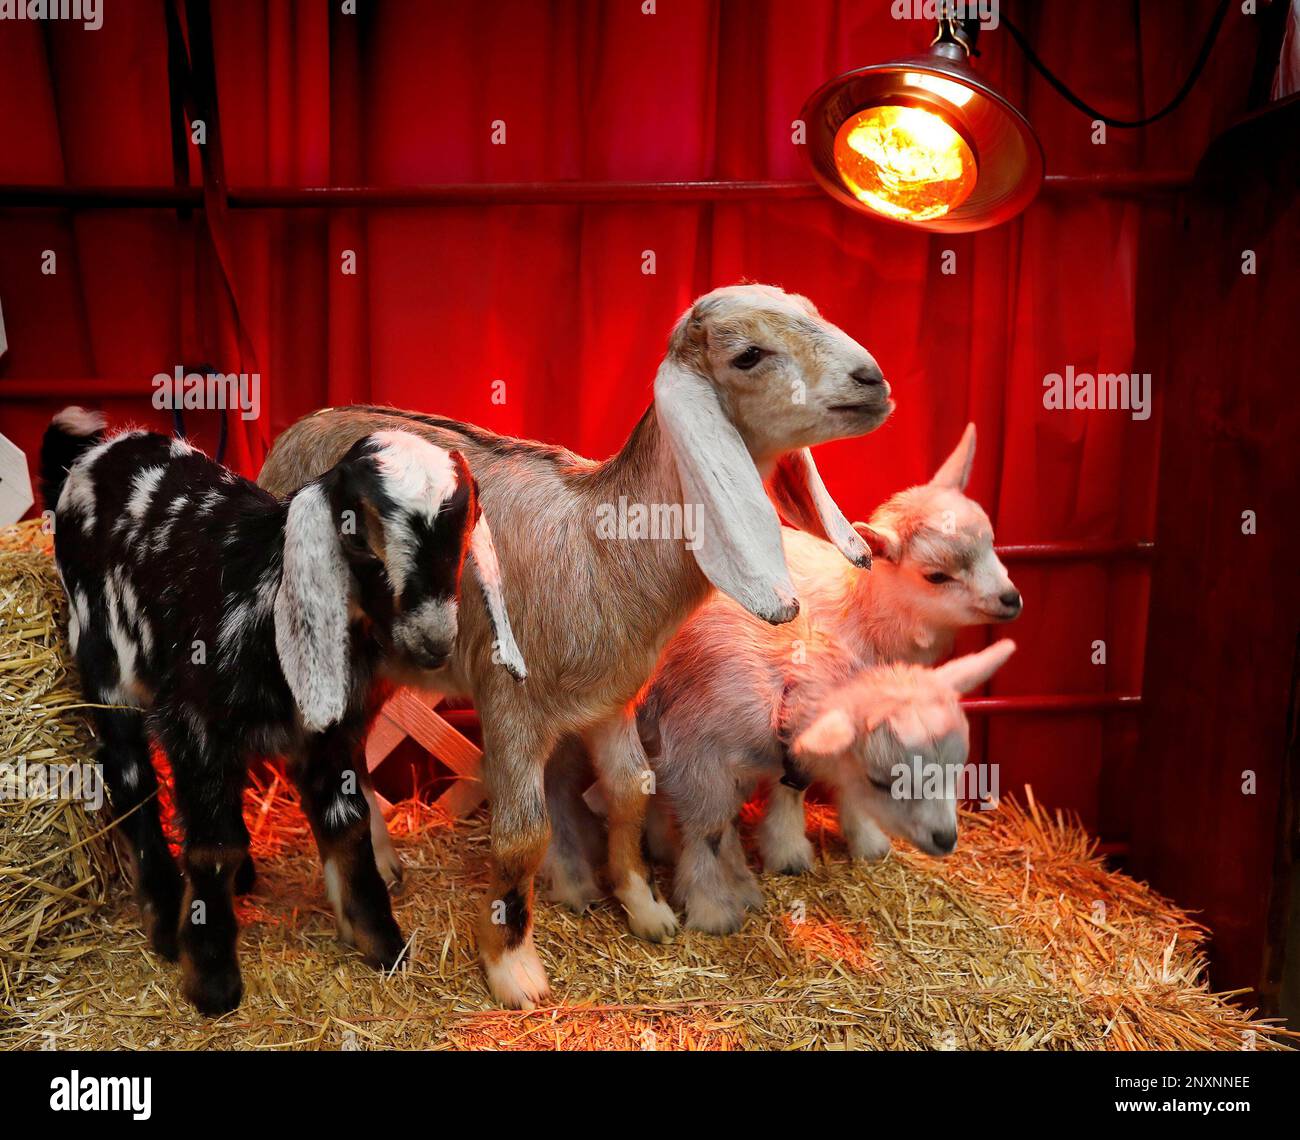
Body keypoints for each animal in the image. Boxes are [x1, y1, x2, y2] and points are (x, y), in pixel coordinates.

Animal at [40, 409, 521, 1015]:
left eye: (462, 539)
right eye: (359, 540)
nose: (434, 643)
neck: (260, 597)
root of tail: (94, 455)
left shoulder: (330, 734)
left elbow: (347, 825)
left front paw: (382, 943)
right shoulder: (195, 723)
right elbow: (212, 845)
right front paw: (212, 977)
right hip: (105, 665)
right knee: (130, 781)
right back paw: (165, 917)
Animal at [257, 284, 891, 1007]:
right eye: (749, 355)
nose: (873, 380)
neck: (600, 545)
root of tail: (298, 430)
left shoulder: (610, 702)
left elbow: (631, 790)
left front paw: (647, 910)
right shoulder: (508, 707)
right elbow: (522, 836)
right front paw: (513, 969)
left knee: (353, 753)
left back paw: (385, 863)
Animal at [647, 639, 1016, 933]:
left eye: (958, 768)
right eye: (880, 781)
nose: (945, 839)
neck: (779, 692)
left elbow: (787, 791)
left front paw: (788, 851)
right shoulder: (697, 760)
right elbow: (708, 831)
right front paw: (712, 907)